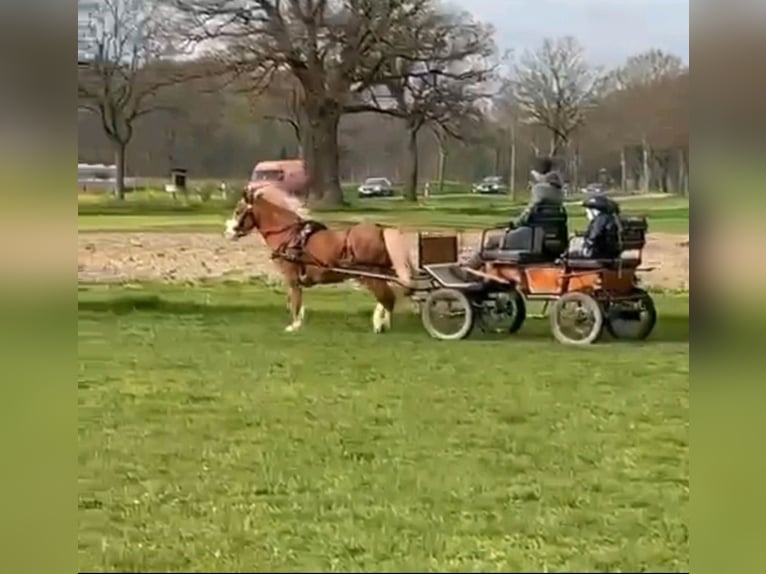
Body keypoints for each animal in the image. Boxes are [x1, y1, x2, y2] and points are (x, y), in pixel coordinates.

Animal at [224, 187, 414, 336]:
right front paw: (299, 321)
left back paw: (379, 323)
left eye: (238, 211)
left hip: (371, 275)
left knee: (387, 298)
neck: (290, 236)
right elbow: (295, 300)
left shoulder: (292, 277)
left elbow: (295, 300)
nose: (228, 233)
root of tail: (379, 230)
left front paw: (294, 325)